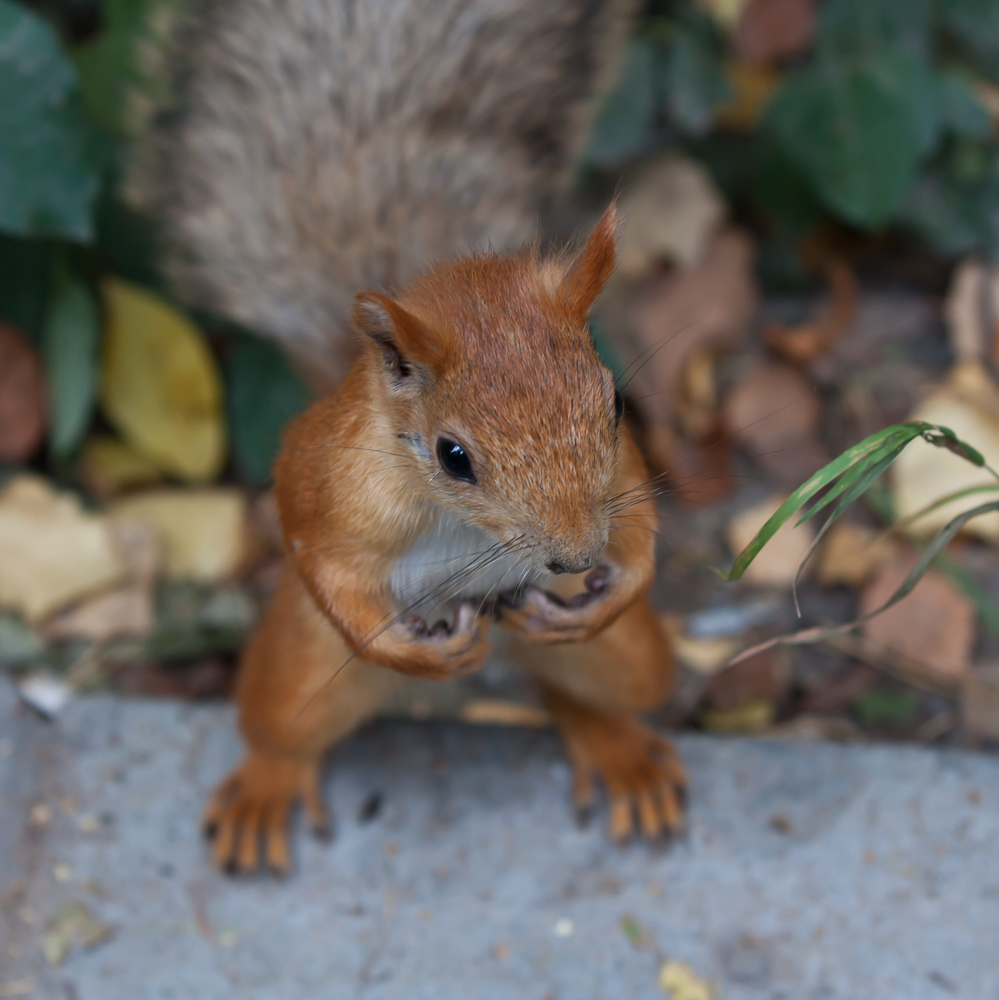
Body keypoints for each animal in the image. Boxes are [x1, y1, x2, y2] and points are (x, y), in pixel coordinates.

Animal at [129, 0, 684, 872]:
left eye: (616, 404)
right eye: (453, 457)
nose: (574, 561)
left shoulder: (622, 470)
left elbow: (639, 520)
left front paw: (623, 583)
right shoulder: (325, 483)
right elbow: (316, 556)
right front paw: (410, 654)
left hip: (621, 662)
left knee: (589, 692)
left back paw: (619, 747)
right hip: (300, 668)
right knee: (279, 727)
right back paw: (266, 786)